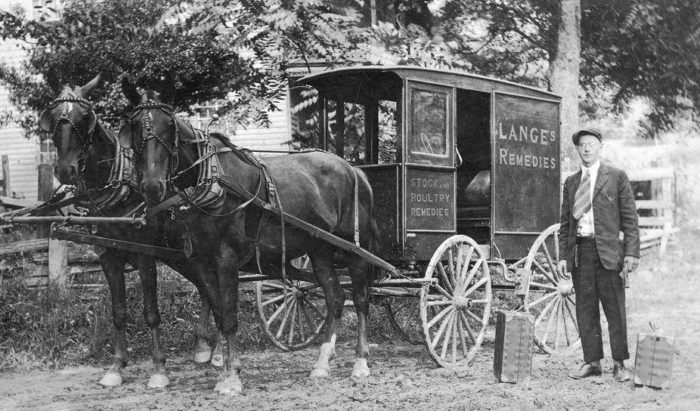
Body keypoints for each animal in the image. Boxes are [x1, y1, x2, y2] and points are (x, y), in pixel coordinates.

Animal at [38, 75, 220, 388]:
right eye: (52, 117)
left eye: (85, 117)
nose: (65, 171)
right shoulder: (108, 256)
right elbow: (119, 313)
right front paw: (116, 367)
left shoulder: (145, 255)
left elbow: (151, 312)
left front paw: (159, 369)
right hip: (182, 254)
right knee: (205, 287)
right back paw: (202, 347)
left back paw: (218, 351)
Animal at [123, 77, 380, 396]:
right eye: (134, 125)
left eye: (169, 125)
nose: (152, 185)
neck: (212, 180)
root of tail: (353, 168)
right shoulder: (201, 261)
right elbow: (220, 314)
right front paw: (224, 371)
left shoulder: (227, 257)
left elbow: (230, 318)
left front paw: (232, 376)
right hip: (319, 250)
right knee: (335, 297)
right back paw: (321, 364)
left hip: (355, 250)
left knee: (360, 299)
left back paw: (360, 362)